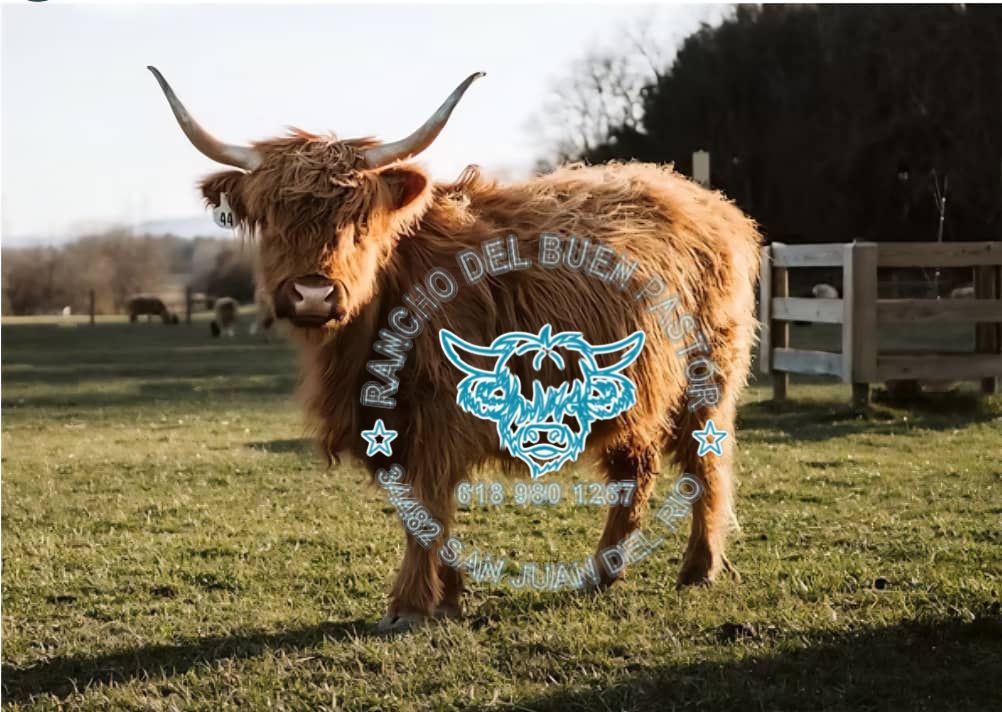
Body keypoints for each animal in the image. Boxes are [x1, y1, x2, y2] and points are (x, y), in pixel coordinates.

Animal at [150, 66, 762, 631]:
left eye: (359, 220)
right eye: (273, 220)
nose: (312, 293)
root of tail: (706, 200)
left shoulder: (440, 415)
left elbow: (428, 504)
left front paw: (410, 606)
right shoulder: (391, 425)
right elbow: (420, 510)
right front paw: (447, 595)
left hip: (708, 381)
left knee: (707, 464)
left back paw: (699, 567)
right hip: (635, 396)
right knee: (635, 472)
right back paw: (602, 573)